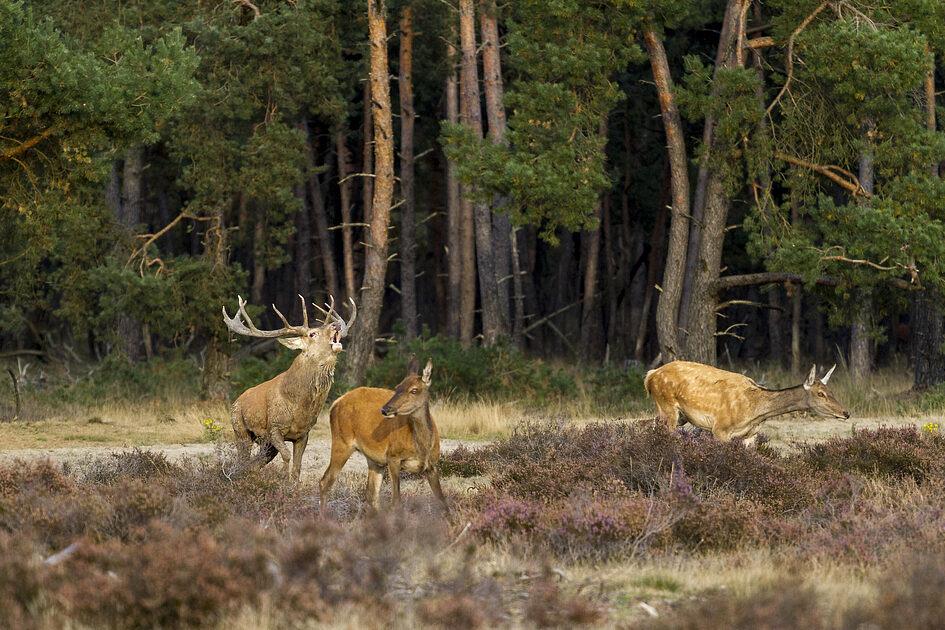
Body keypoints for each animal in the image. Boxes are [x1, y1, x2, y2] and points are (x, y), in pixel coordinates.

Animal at [223, 294, 356, 482]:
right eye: (312, 334)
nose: (336, 324)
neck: (299, 405)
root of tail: (236, 401)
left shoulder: (303, 433)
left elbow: (297, 466)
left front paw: (292, 483)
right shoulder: (274, 427)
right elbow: (286, 456)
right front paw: (282, 479)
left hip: (265, 442)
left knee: (255, 463)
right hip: (239, 427)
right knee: (242, 459)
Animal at [318, 358, 448, 516]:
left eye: (414, 390)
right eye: (397, 387)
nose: (385, 409)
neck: (422, 447)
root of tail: (335, 403)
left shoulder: (433, 465)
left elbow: (443, 501)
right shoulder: (393, 456)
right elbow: (396, 501)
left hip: (374, 460)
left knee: (371, 494)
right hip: (341, 442)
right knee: (325, 481)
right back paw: (323, 518)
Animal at [640, 360, 848, 450]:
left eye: (831, 391)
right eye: (820, 393)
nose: (845, 413)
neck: (754, 411)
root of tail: (650, 375)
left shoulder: (751, 434)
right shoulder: (720, 428)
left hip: (678, 415)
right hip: (667, 406)